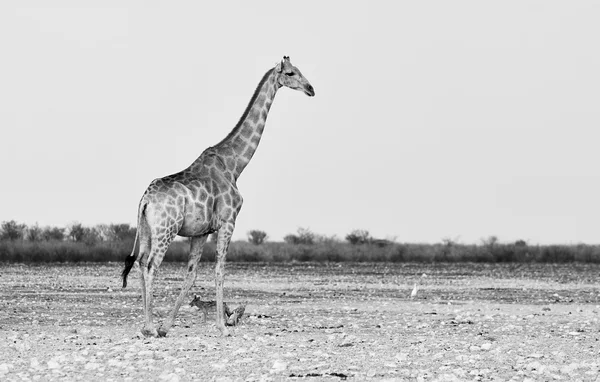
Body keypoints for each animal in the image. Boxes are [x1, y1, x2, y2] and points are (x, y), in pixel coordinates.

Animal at [120, 56, 314, 338]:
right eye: (290, 73)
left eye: (300, 71)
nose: (311, 89)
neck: (235, 165)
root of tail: (145, 200)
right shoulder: (228, 222)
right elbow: (219, 270)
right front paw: (222, 327)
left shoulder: (201, 231)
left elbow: (191, 275)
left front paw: (167, 326)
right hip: (167, 229)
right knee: (150, 265)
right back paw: (149, 327)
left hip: (146, 229)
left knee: (139, 262)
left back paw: (149, 326)